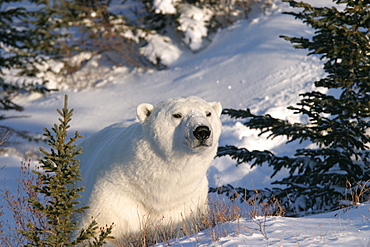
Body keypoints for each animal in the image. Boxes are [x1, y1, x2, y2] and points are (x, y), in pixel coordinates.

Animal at [76, 95, 221, 244]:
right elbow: (96, 229)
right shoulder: (114, 195)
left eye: (208, 113)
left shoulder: (187, 203)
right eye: (177, 115)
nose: (202, 131)